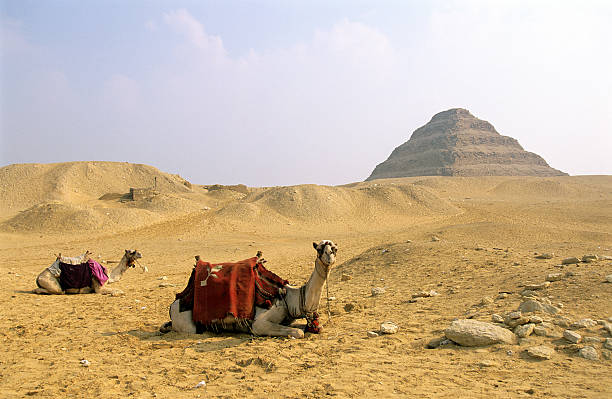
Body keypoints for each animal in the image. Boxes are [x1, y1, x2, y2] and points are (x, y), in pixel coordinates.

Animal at [160, 239, 338, 340]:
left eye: (335, 249)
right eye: (319, 248)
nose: (329, 257)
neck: (290, 296)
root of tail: (173, 305)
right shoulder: (259, 323)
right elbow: (298, 333)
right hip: (186, 324)